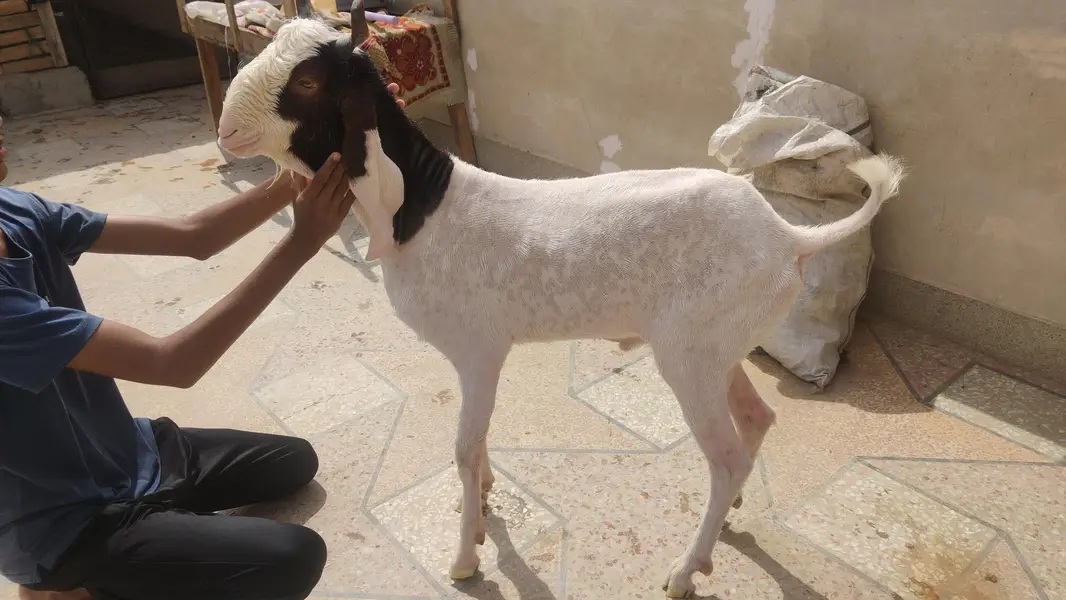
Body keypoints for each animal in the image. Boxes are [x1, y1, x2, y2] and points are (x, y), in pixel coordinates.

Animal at [216, 10, 905, 597]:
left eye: (308, 81)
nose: (226, 128)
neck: (425, 207)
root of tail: (791, 237)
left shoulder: (479, 352)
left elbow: (463, 447)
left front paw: (466, 555)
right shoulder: (478, 359)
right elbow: (476, 444)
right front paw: (483, 501)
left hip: (691, 357)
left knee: (727, 455)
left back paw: (686, 570)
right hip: (719, 345)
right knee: (756, 419)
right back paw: (728, 518)